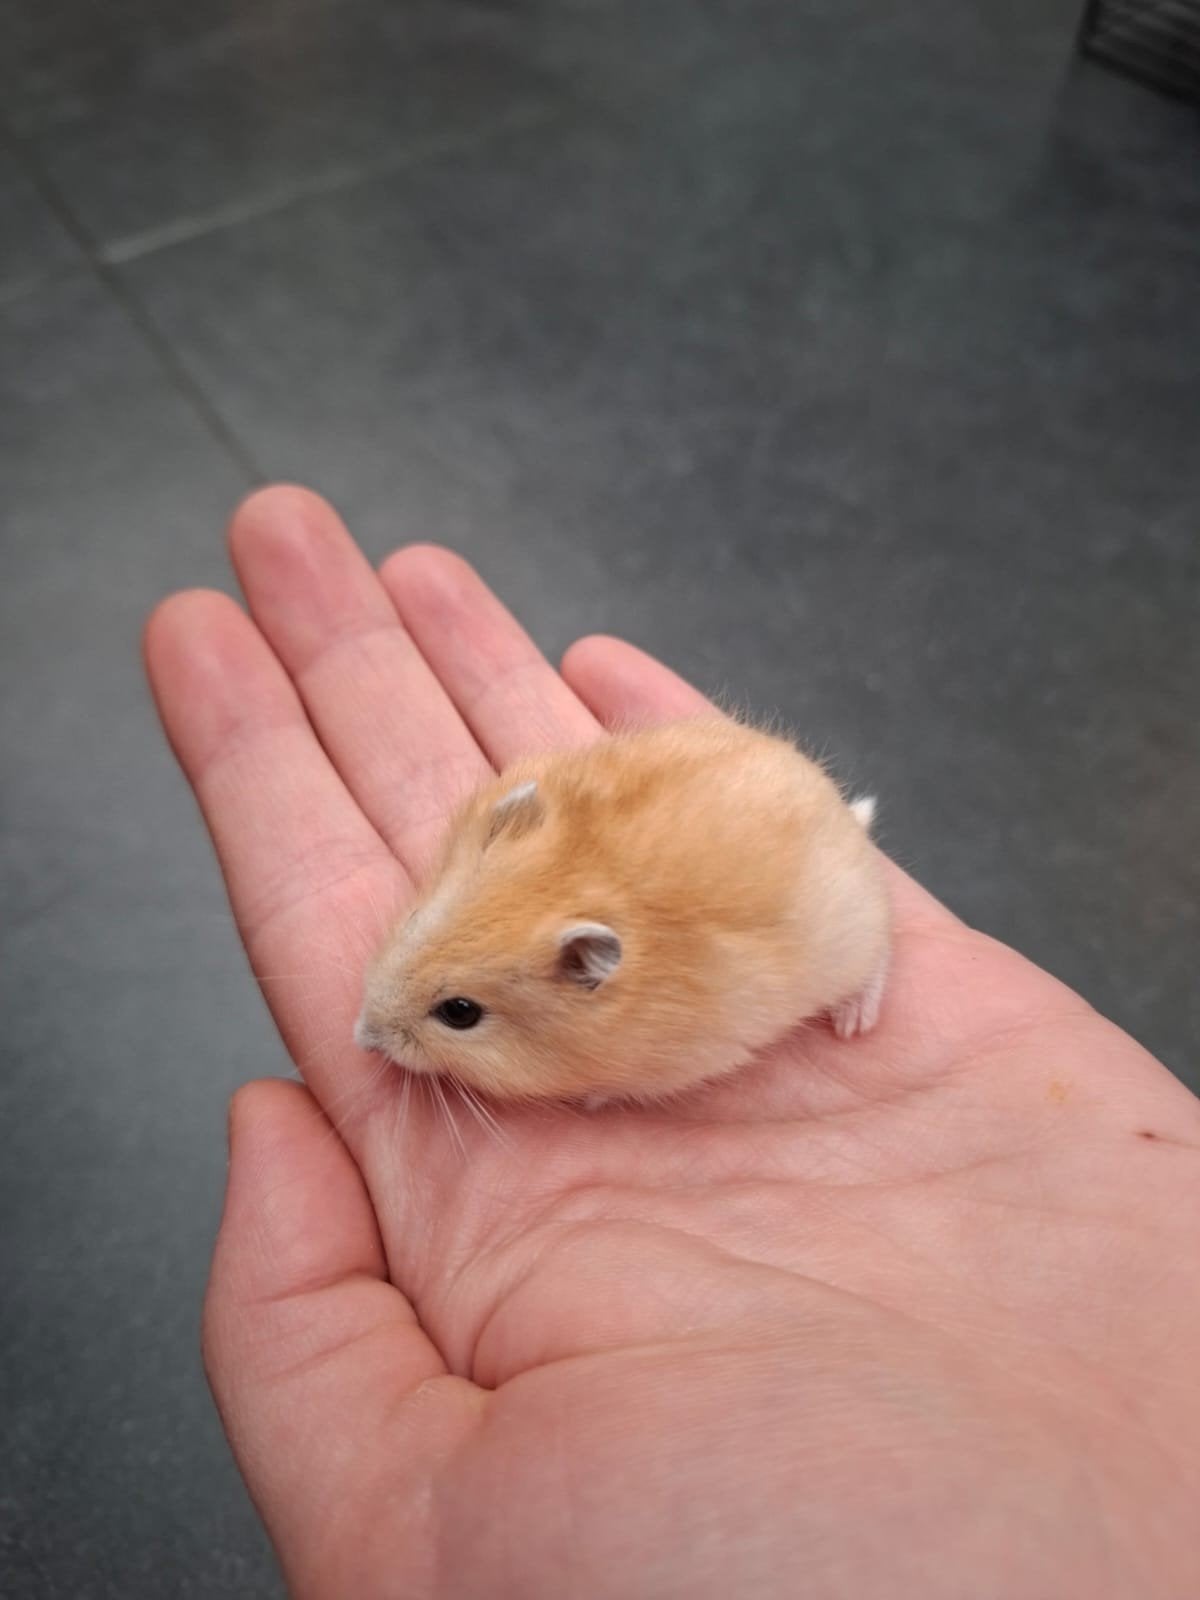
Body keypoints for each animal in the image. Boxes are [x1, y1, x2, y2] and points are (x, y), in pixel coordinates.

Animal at [354, 718, 890, 1104]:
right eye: (413, 921)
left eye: (459, 1013)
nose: (361, 1037)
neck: (582, 879)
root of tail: (845, 818)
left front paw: (591, 1102)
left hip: (855, 935)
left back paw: (854, 1023)